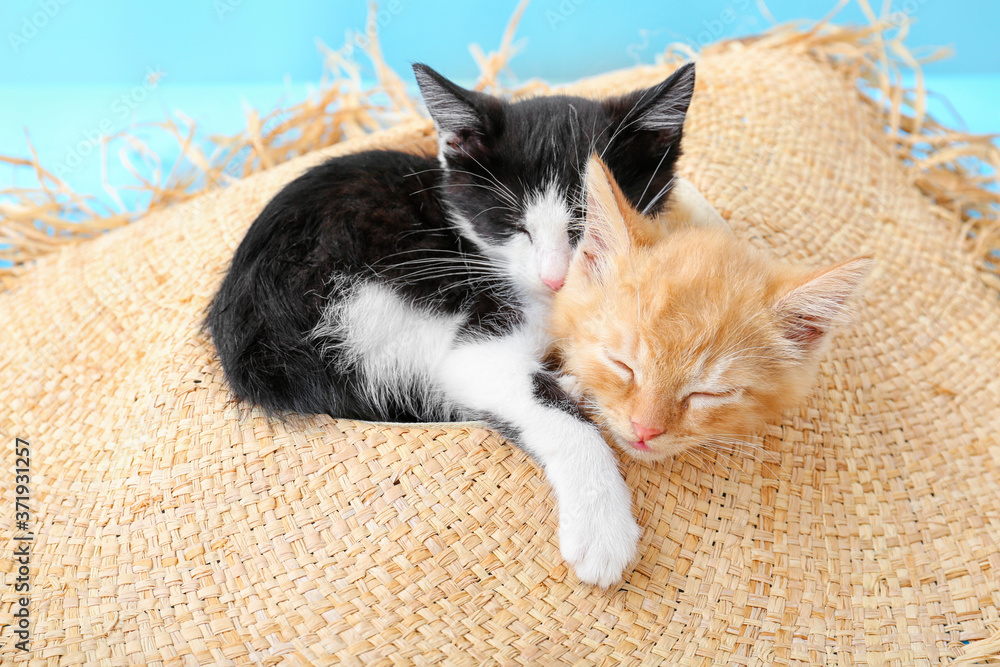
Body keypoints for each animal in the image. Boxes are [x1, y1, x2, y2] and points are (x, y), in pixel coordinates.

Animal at [209, 61, 696, 584]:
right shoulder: (476, 340)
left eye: (588, 224)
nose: (553, 277)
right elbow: (544, 408)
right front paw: (602, 529)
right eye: (513, 226)